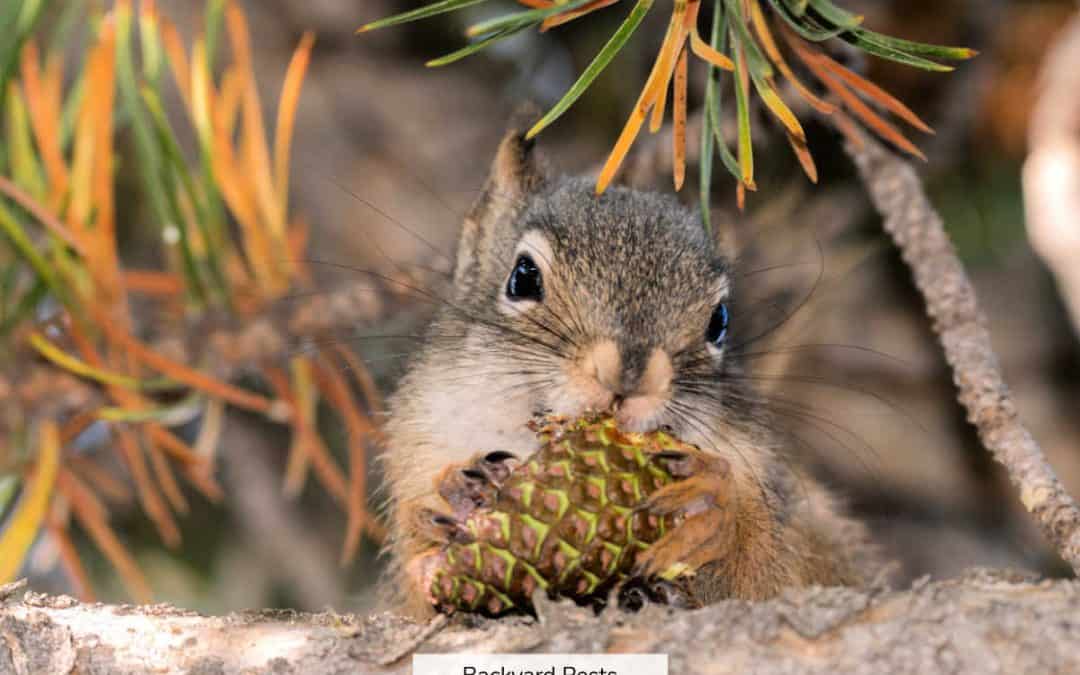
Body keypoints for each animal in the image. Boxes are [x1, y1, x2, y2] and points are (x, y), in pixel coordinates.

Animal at [380, 116, 877, 618]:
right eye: (523, 276)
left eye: (719, 322)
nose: (630, 378)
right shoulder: (421, 448)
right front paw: (451, 500)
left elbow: (764, 575)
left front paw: (712, 506)